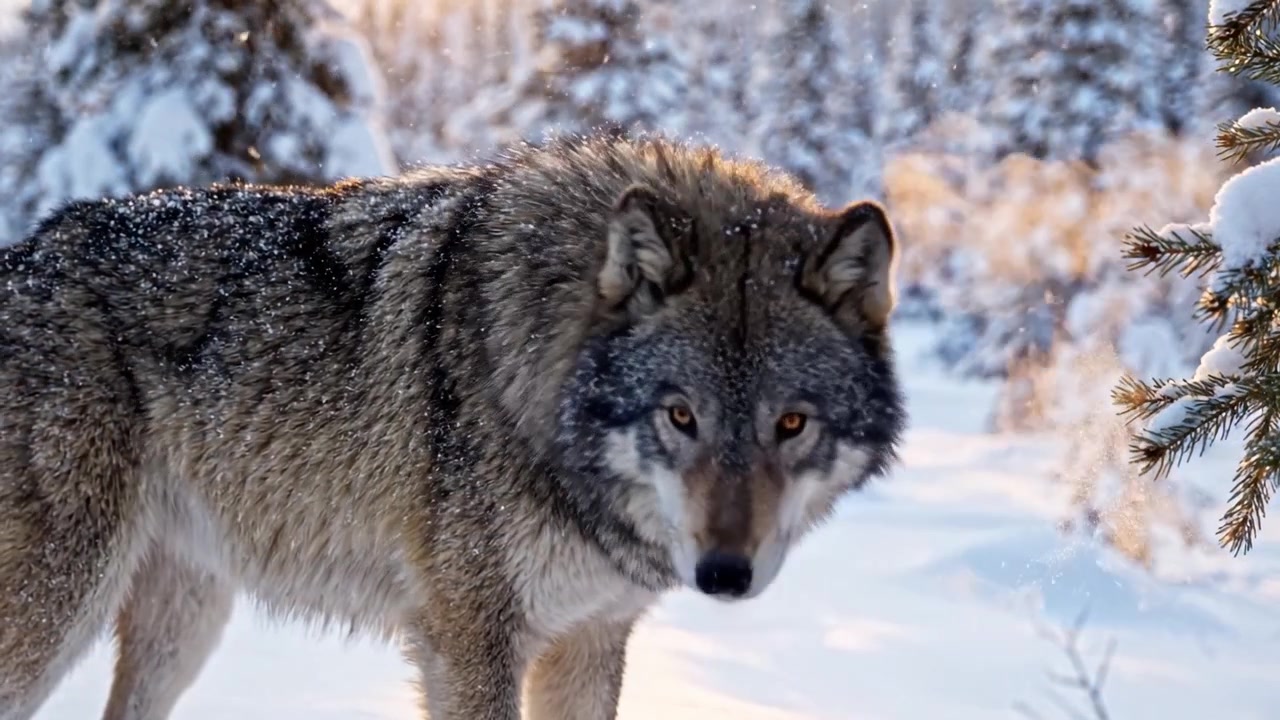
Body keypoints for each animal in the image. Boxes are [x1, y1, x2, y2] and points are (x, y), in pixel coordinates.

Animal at [0, 132, 906, 720]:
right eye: (680, 415)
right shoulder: (471, 643)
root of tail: (22, 256)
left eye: (791, 423)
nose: (723, 574)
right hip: (63, 610)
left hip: (184, 620)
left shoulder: (590, 640)